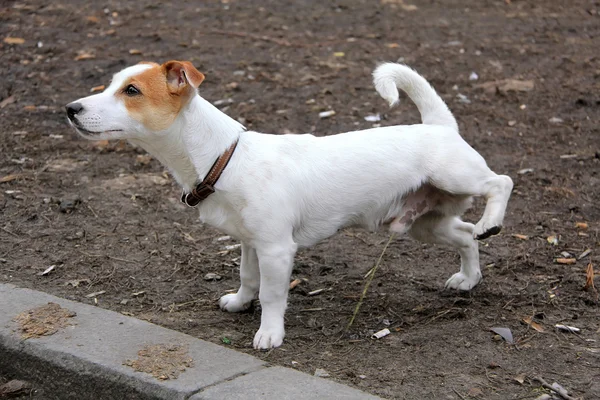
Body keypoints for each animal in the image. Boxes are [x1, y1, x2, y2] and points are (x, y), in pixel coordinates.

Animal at [68, 61, 512, 348]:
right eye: (111, 85)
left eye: (132, 91)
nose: (71, 108)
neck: (223, 157)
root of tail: (438, 126)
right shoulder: (250, 243)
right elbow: (248, 279)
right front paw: (239, 303)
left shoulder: (277, 249)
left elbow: (271, 295)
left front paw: (269, 333)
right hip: (425, 223)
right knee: (467, 236)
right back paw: (469, 277)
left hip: (457, 176)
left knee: (501, 183)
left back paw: (492, 220)